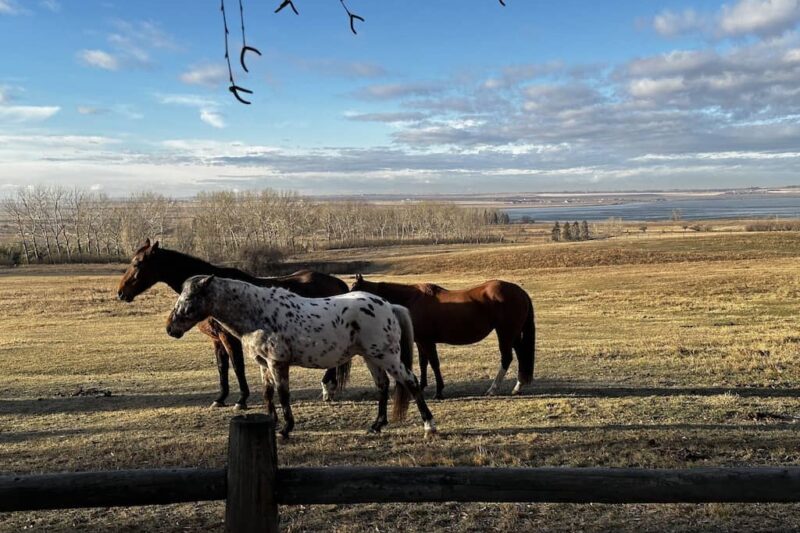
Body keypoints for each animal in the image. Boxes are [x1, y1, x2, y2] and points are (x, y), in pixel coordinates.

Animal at [116, 239, 350, 410]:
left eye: (137, 263)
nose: (121, 293)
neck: (214, 292)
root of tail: (335, 282)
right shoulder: (216, 339)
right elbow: (222, 367)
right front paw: (220, 398)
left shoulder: (229, 338)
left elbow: (237, 366)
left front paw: (241, 400)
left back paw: (327, 388)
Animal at [165, 274, 434, 436]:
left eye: (189, 297)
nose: (170, 328)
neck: (259, 313)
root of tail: (388, 306)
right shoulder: (264, 365)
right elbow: (268, 394)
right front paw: (272, 422)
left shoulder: (277, 363)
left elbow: (283, 395)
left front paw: (286, 429)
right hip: (372, 357)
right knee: (383, 386)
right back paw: (376, 426)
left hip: (387, 356)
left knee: (410, 382)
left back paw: (429, 426)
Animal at [352, 276, 536, 396]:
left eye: (354, 291)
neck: (412, 299)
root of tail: (520, 292)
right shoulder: (421, 341)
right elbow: (424, 363)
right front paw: (423, 386)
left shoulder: (427, 342)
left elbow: (434, 363)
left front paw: (439, 391)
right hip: (513, 334)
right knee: (521, 355)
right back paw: (518, 386)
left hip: (505, 332)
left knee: (507, 357)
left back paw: (493, 389)